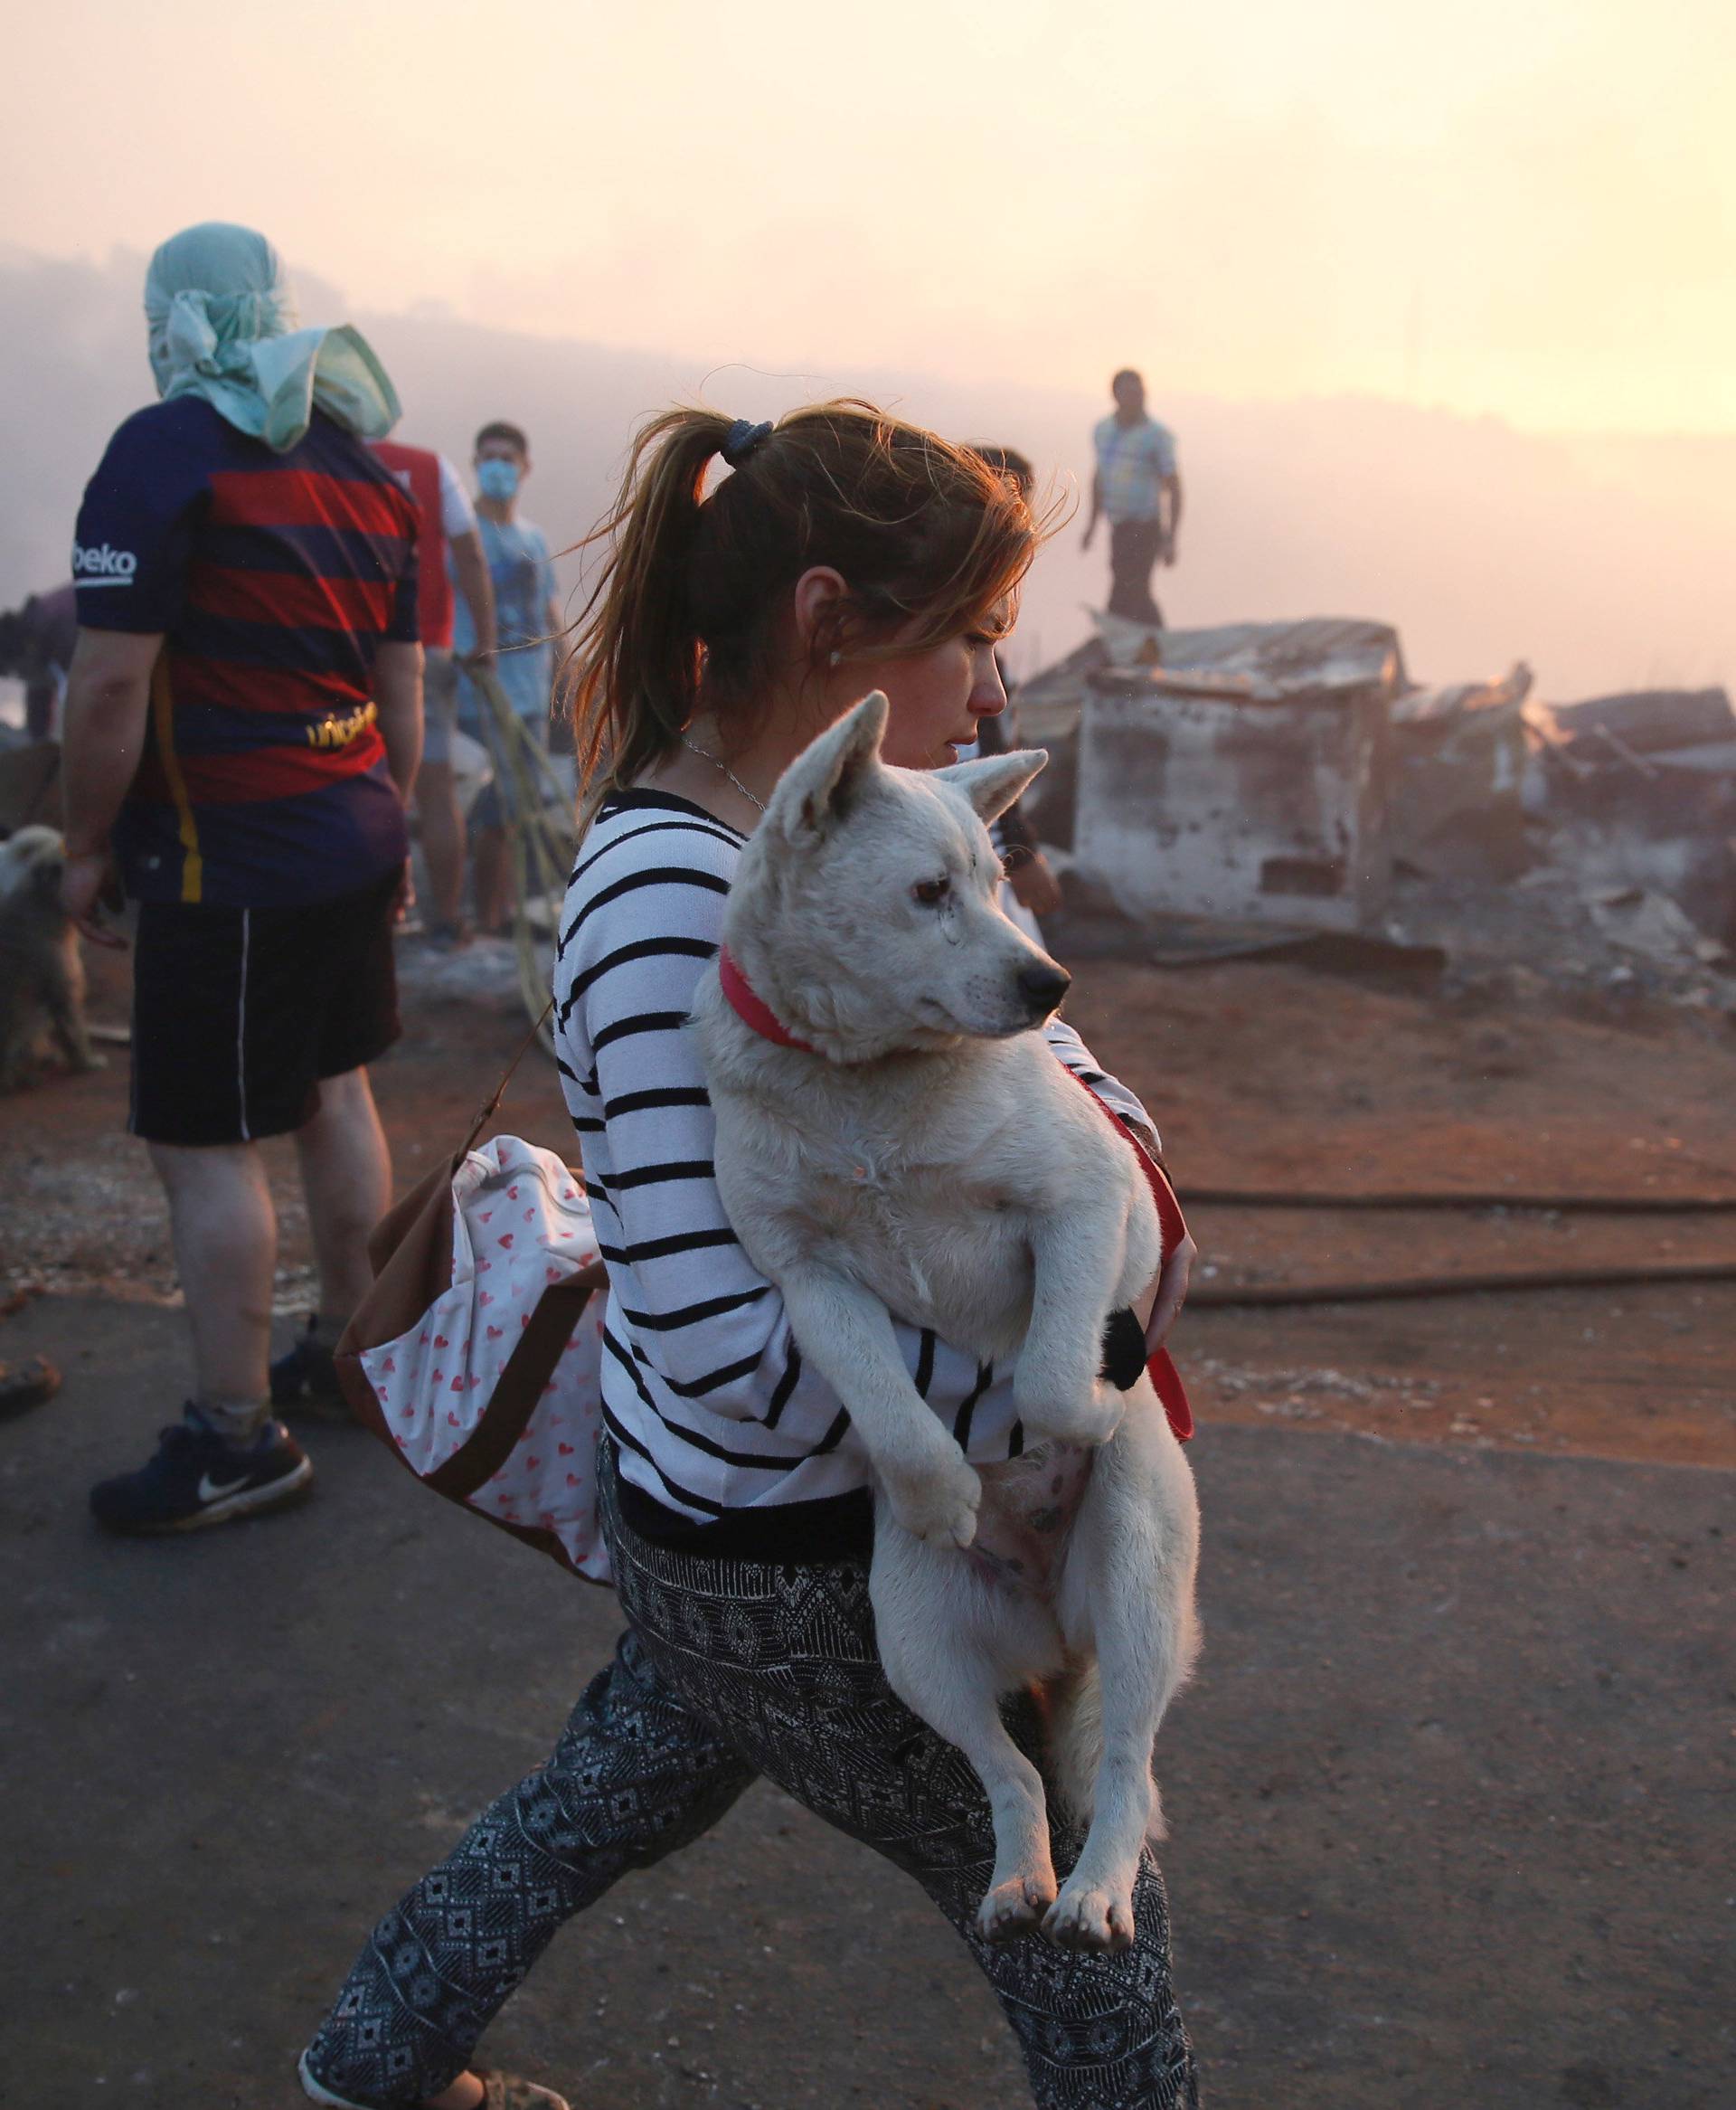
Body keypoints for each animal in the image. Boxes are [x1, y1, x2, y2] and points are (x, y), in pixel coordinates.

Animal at [700, 692, 1198, 1941]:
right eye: (929, 890)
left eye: (993, 878)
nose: (1051, 983)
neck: (862, 1086)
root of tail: (1057, 1626)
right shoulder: (804, 1274)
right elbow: (884, 1394)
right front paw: (941, 1492)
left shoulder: (1092, 1197)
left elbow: (1054, 1374)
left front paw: (1091, 1404)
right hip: (917, 1640)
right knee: (1010, 1772)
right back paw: (1021, 1878)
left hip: (1137, 1587)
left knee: (1123, 1764)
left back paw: (1095, 1890)